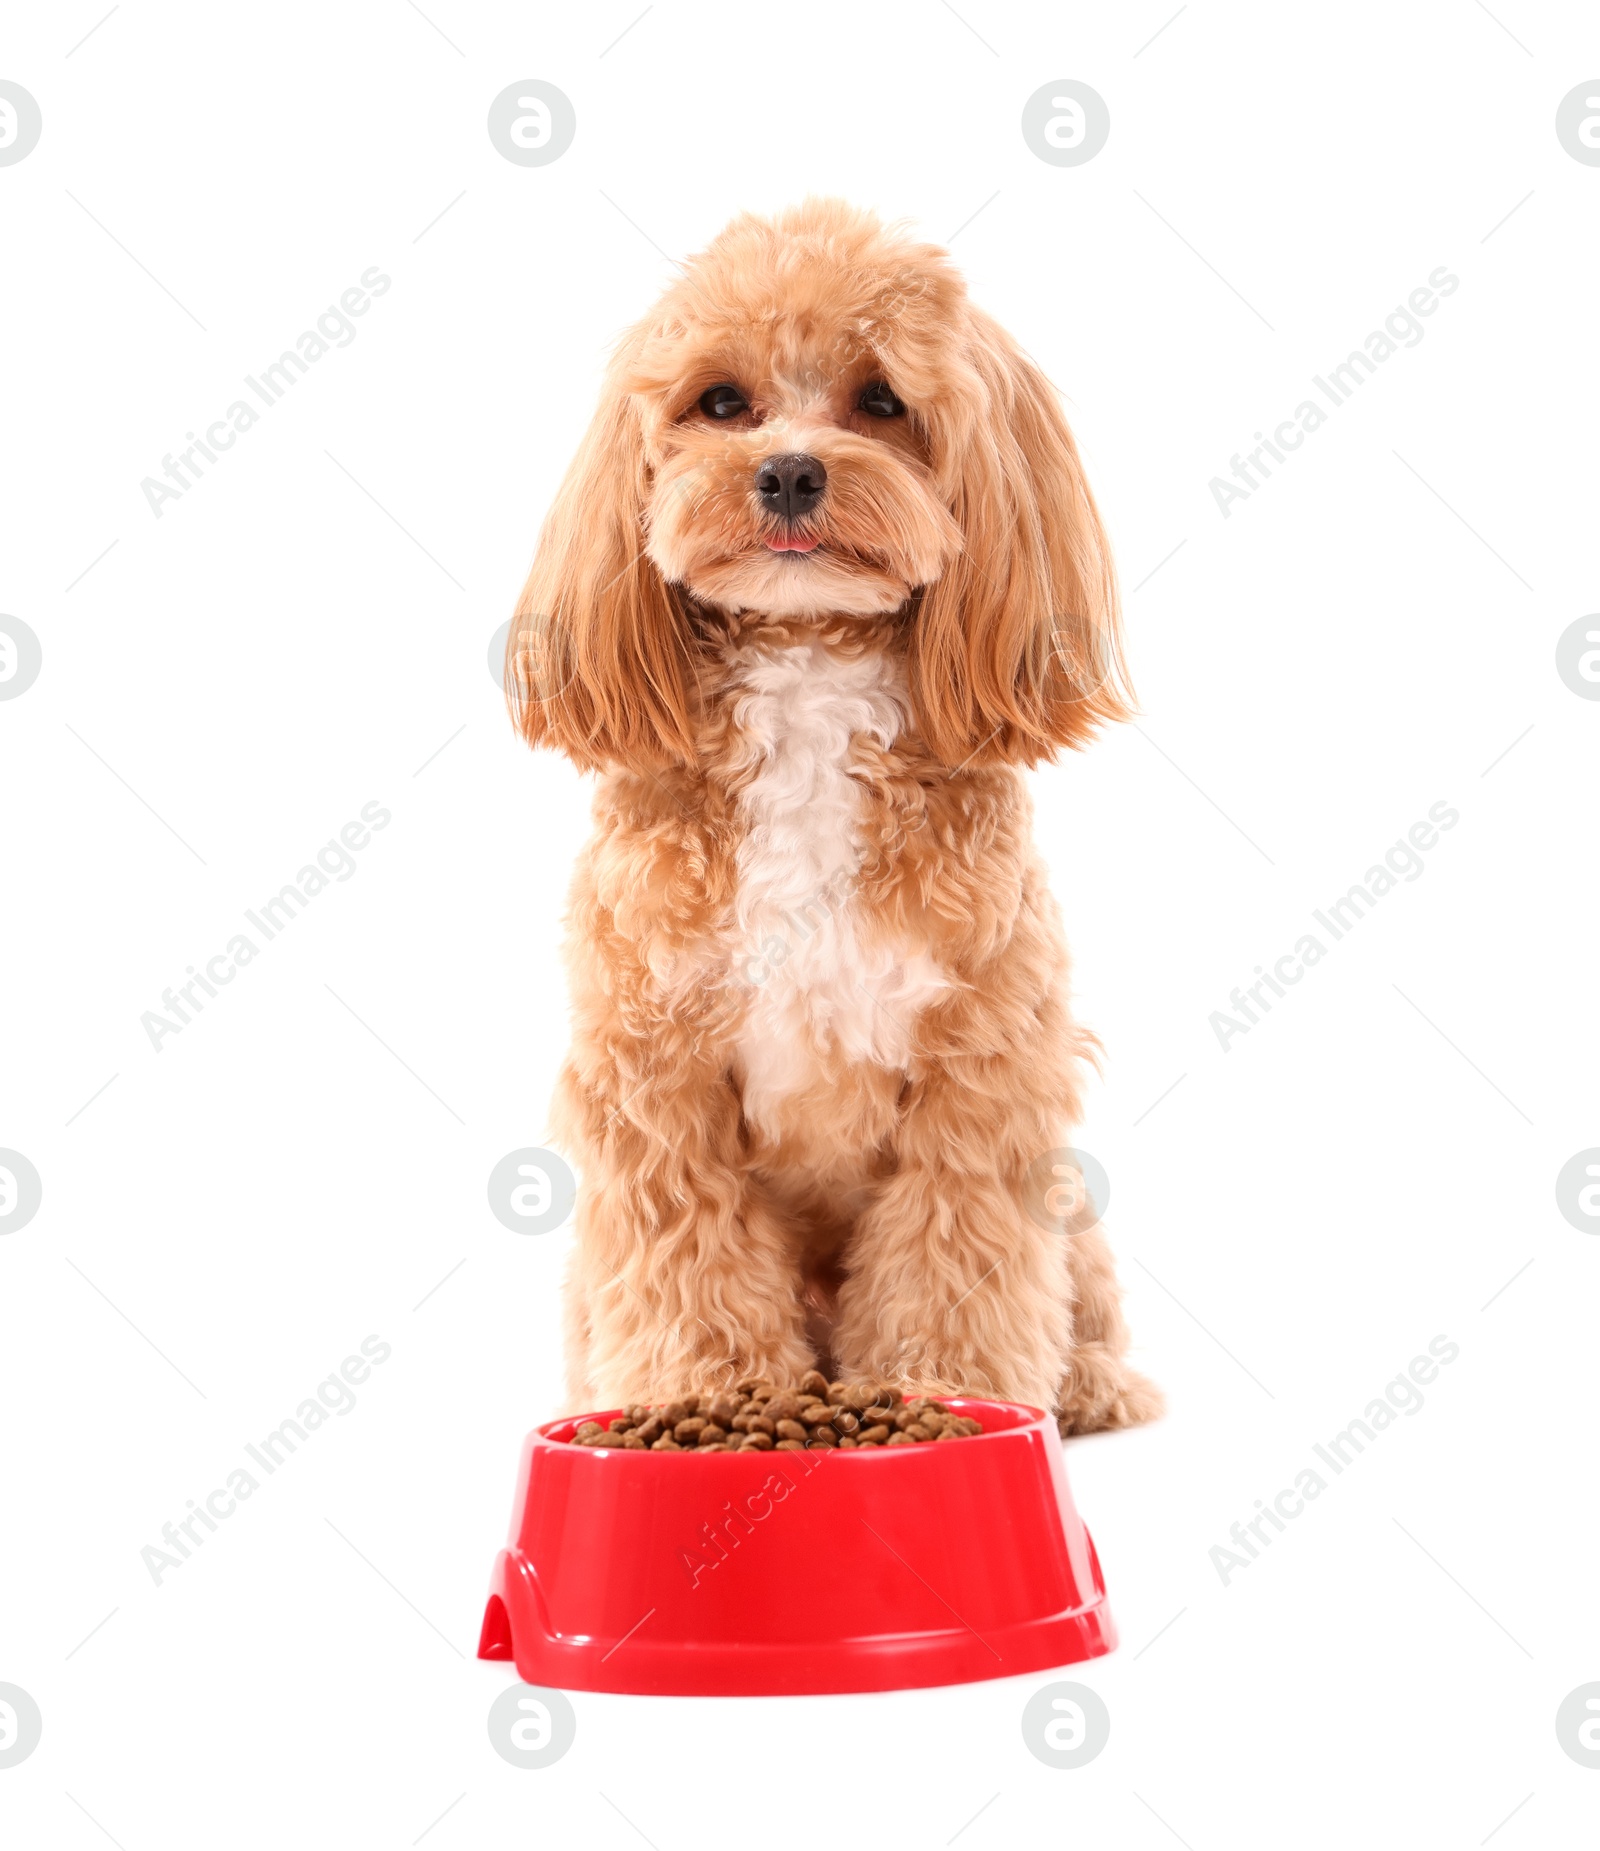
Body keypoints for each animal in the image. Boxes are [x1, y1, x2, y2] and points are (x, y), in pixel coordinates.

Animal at [511, 198, 1162, 1428]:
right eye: (722, 403)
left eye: (882, 401)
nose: (789, 472)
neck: (808, 675)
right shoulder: (655, 1078)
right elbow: (689, 1271)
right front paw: (705, 1396)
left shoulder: (978, 1071)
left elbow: (956, 1261)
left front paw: (944, 1393)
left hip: (1070, 1203)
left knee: (1081, 1292)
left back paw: (1093, 1384)